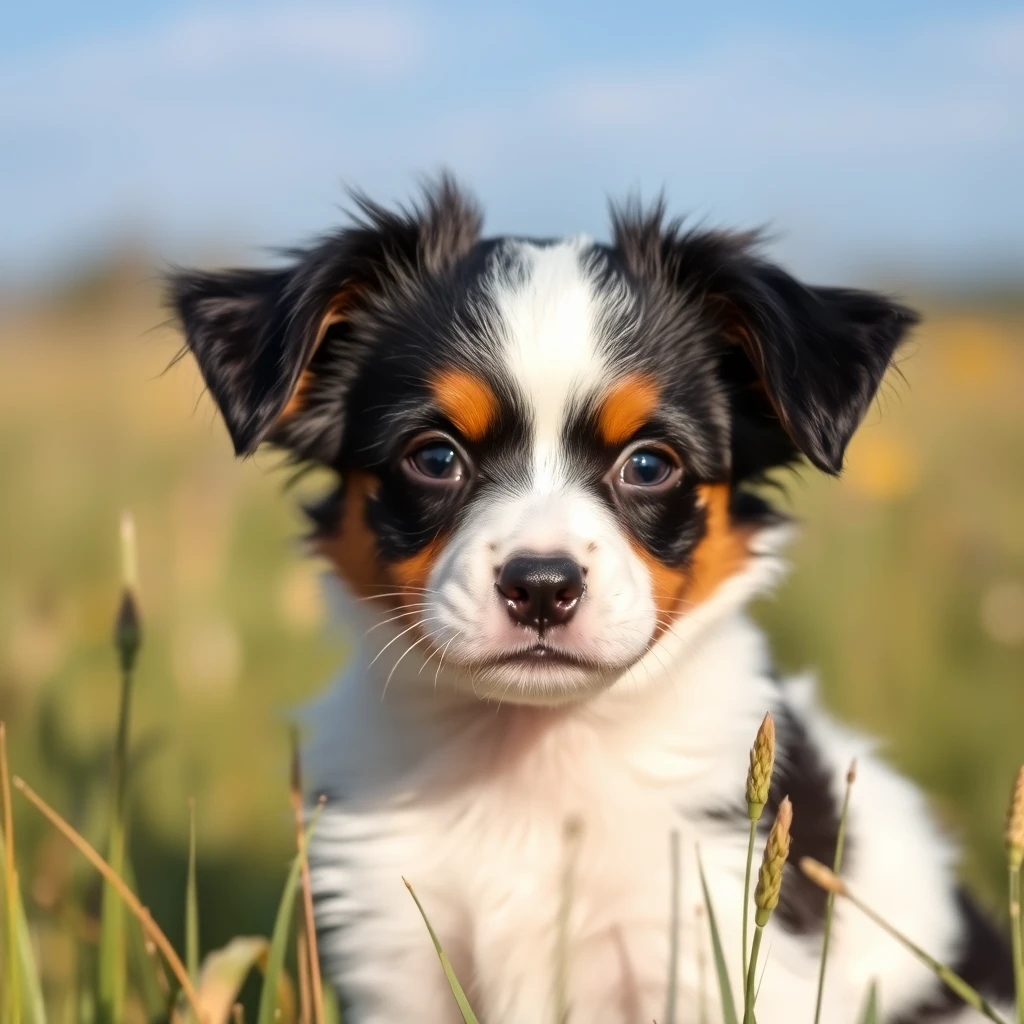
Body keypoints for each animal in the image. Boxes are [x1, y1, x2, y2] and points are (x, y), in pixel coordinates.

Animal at [169, 178, 1015, 1024]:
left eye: (649, 464)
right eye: (435, 457)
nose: (543, 586)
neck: (531, 763)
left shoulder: (713, 935)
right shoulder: (401, 955)